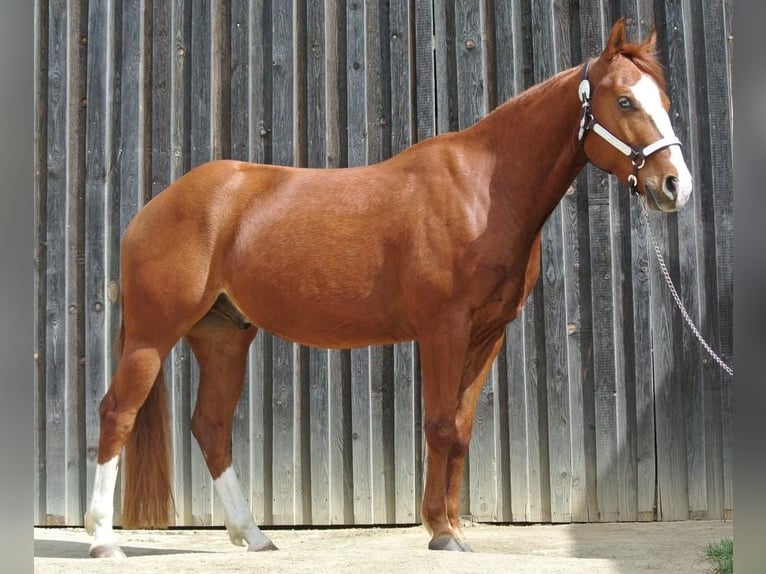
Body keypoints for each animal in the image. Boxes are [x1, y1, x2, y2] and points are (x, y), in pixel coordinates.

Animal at [84, 18, 692, 558]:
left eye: (663, 99)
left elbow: (462, 431)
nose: (674, 186)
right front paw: (442, 533)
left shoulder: (487, 335)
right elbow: (440, 426)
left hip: (224, 337)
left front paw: (453, 527)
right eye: (625, 102)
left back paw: (254, 537)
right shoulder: (443, 329)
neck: (483, 190)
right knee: (117, 412)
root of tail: (153, 208)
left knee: (210, 426)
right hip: (152, 334)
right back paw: (103, 540)